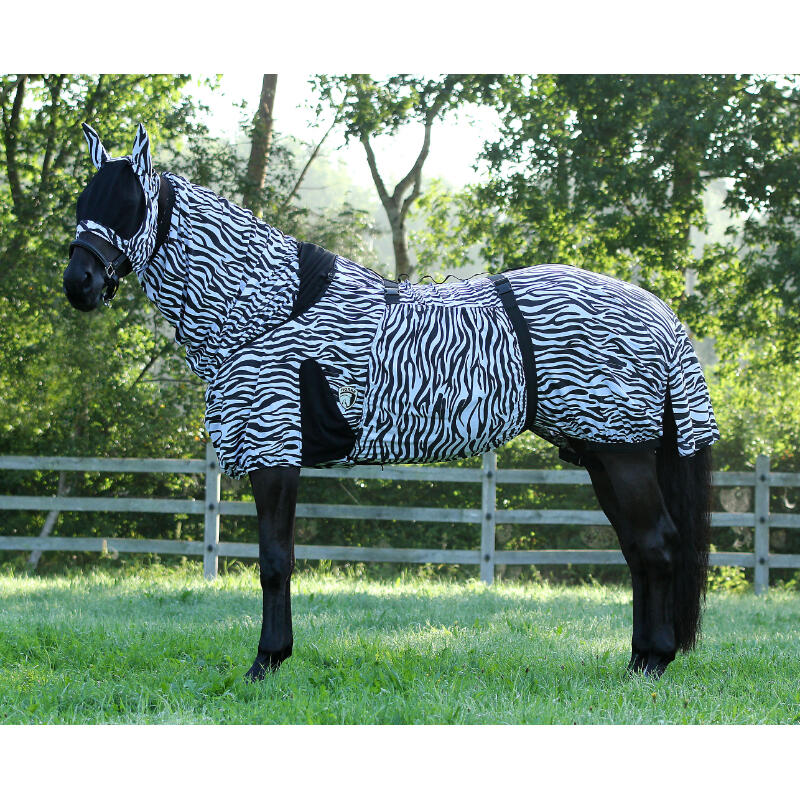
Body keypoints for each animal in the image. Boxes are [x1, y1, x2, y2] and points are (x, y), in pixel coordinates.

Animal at [63, 123, 719, 680]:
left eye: (130, 206)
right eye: (83, 205)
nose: (79, 285)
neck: (266, 312)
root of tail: (658, 311)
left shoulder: (275, 452)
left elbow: (275, 561)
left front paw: (266, 662)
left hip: (621, 452)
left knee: (656, 545)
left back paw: (653, 663)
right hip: (603, 450)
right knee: (639, 549)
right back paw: (638, 660)